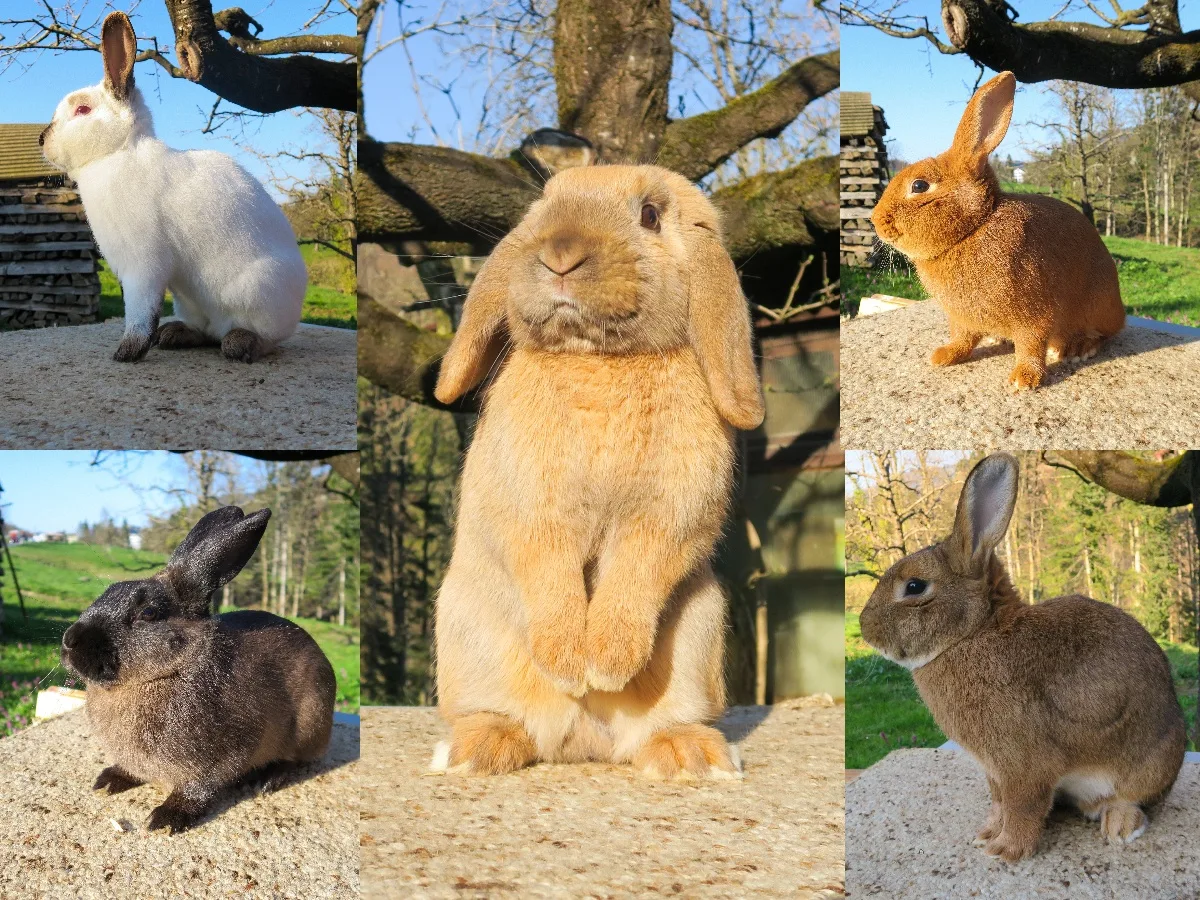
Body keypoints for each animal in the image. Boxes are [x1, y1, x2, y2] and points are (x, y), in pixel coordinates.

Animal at [39, 11, 306, 364]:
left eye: (83, 110)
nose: (41, 140)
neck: (116, 155)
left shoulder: (143, 267)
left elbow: (140, 314)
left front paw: (126, 353)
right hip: (190, 302)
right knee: (205, 332)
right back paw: (175, 334)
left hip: (259, 292)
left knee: (269, 338)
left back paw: (239, 344)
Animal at [60, 506, 336, 834]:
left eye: (148, 613)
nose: (69, 642)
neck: (165, 673)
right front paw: (108, 781)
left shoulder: (218, 760)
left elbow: (198, 789)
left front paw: (167, 818)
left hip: (309, 721)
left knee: (296, 759)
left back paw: (268, 780)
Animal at [429, 164, 765, 780]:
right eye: (545, 204)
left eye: (650, 215)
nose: (561, 255)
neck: (597, 361)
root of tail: (581, 741)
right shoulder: (532, 511)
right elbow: (549, 570)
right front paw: (569, 664)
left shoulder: (668, 516)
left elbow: (637, 572)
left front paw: (605, 665)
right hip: (469, 635)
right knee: (497, 715)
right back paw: (475, 748)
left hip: (697, 641)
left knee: (664, 722)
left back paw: (689, 755)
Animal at [859, 453, 1186, 862]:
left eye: (915, 586)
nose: (864, 627)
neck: (972, 633)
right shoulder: (994, 771)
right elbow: (1000, 803)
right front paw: (987, 835)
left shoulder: (1023, 767)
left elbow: (1022, 807)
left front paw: (1006, 851)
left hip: (1151, 762)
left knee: (1135, 799)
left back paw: (1119, 826)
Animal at [871, 71, 1125, 392]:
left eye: (919, 186)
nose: (876, 221)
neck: (974, 228)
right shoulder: (961, 320)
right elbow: (963, 339)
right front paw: (944, 356)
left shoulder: (1034, 312)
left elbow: (1031, 345)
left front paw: (1025, 379)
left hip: (1096, 305)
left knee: (1105, 334)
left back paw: (1076, 349)